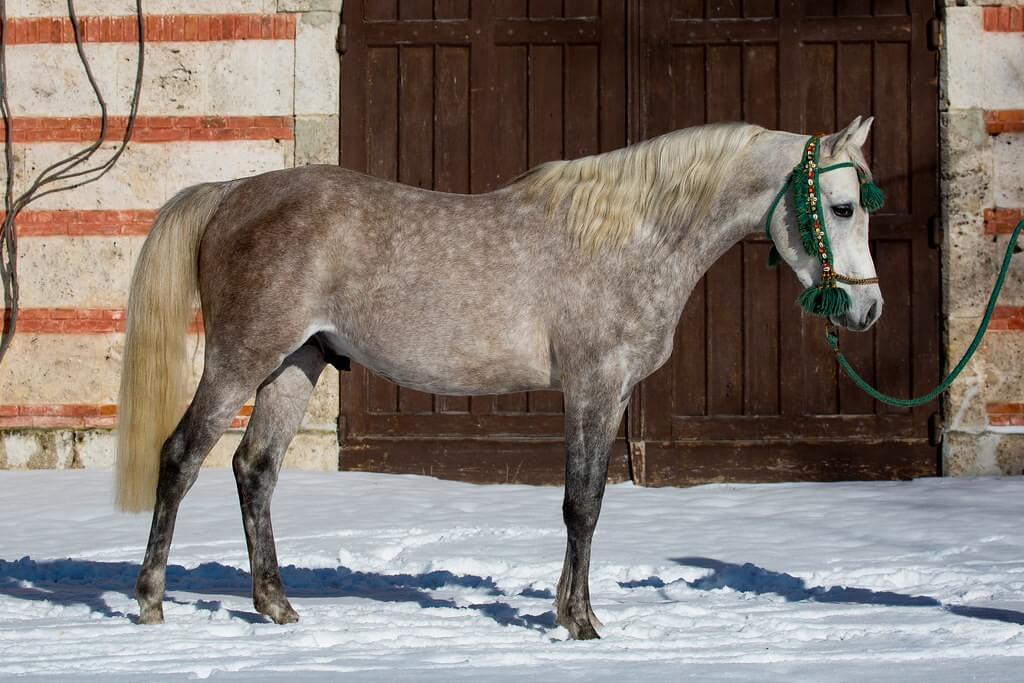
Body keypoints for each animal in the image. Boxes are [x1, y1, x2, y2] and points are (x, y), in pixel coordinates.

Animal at [112, 116, 880, 643]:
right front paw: (582, 621)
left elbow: (588, 502)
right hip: (240, 359)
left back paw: (275, 605)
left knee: (255, 469)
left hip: (294, 364)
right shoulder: (594, 386)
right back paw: (150, 600)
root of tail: (232, 193)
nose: (867, 310)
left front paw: (570, 612)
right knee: (181, 458)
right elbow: (582, 504)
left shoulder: (610, 394)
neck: (631, 236)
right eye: (842, 206)